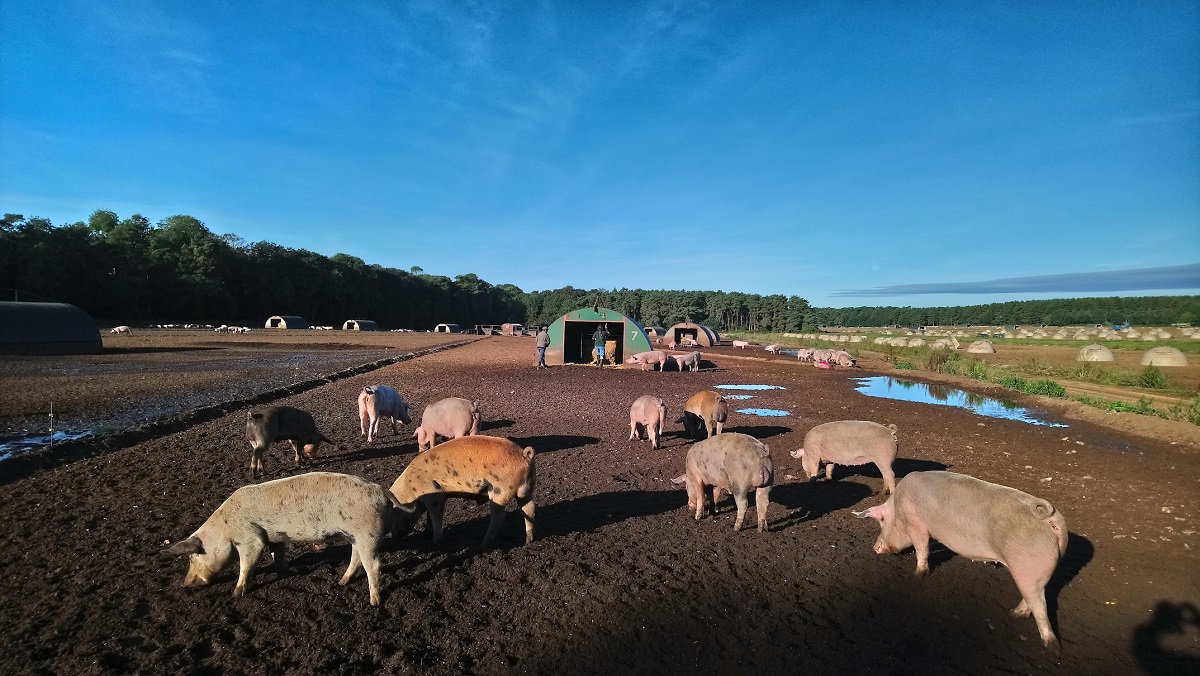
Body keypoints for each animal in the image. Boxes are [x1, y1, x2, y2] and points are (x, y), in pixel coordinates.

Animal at [388, 437, 535, 547]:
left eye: (395, 513)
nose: (392, 539)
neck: (409, 487)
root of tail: (524, 455)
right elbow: (430, 517)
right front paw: (426, 534)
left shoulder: (434, 495)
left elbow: (435, 516)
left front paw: (436, 541)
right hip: (527, 490)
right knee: (529, 509)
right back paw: (527, 542)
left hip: (499, 490)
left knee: (499, 517)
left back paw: (483, 544)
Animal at [854, 470, 1070, 648]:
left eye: (881, 521)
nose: (874, 548)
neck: (898, 506)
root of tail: (1049, 517)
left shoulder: (916, 524)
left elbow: (922, 548)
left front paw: (916, 575)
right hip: (1036, 573)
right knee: (1035, 596)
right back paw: (1014, 614)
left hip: (1026, 565)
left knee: (1040, 605)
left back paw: (1050, 646)